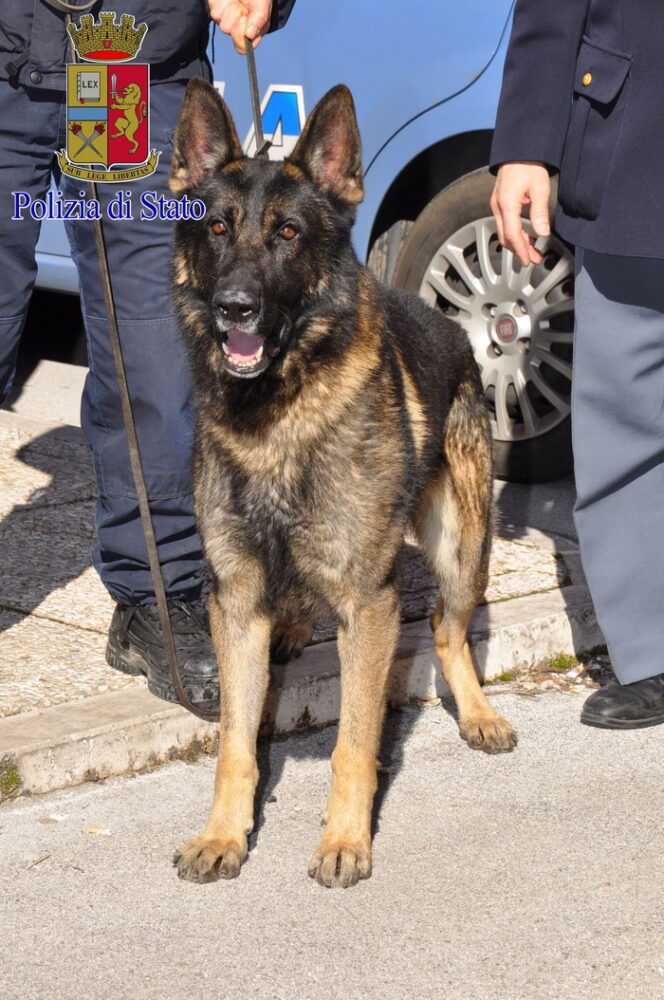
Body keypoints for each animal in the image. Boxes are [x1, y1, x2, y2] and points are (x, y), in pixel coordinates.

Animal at [169, 80, 516, 892]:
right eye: (219, 228)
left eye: (289, 234)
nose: (233, 307)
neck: (275, 417)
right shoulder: (235, 603)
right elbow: (236, 743)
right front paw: (224, 833)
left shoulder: (370, 601)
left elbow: (353, 741)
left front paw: (345, 839)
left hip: (461, 547)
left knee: (447, 628)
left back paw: (477, 712)